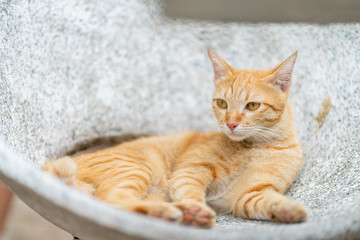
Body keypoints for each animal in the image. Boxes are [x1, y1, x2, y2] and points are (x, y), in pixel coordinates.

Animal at [43, 49, 306, 228]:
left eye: (252, 106)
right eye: (222, 103)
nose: (231, 124)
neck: (258, 146)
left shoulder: (249, 195)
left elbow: (269, 202)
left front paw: (291, 211)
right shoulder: (189, 171)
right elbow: (191, 192)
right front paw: (198, 208)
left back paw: (177, 213)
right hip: (138, 167)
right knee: (110, 200)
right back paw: (179, 213)